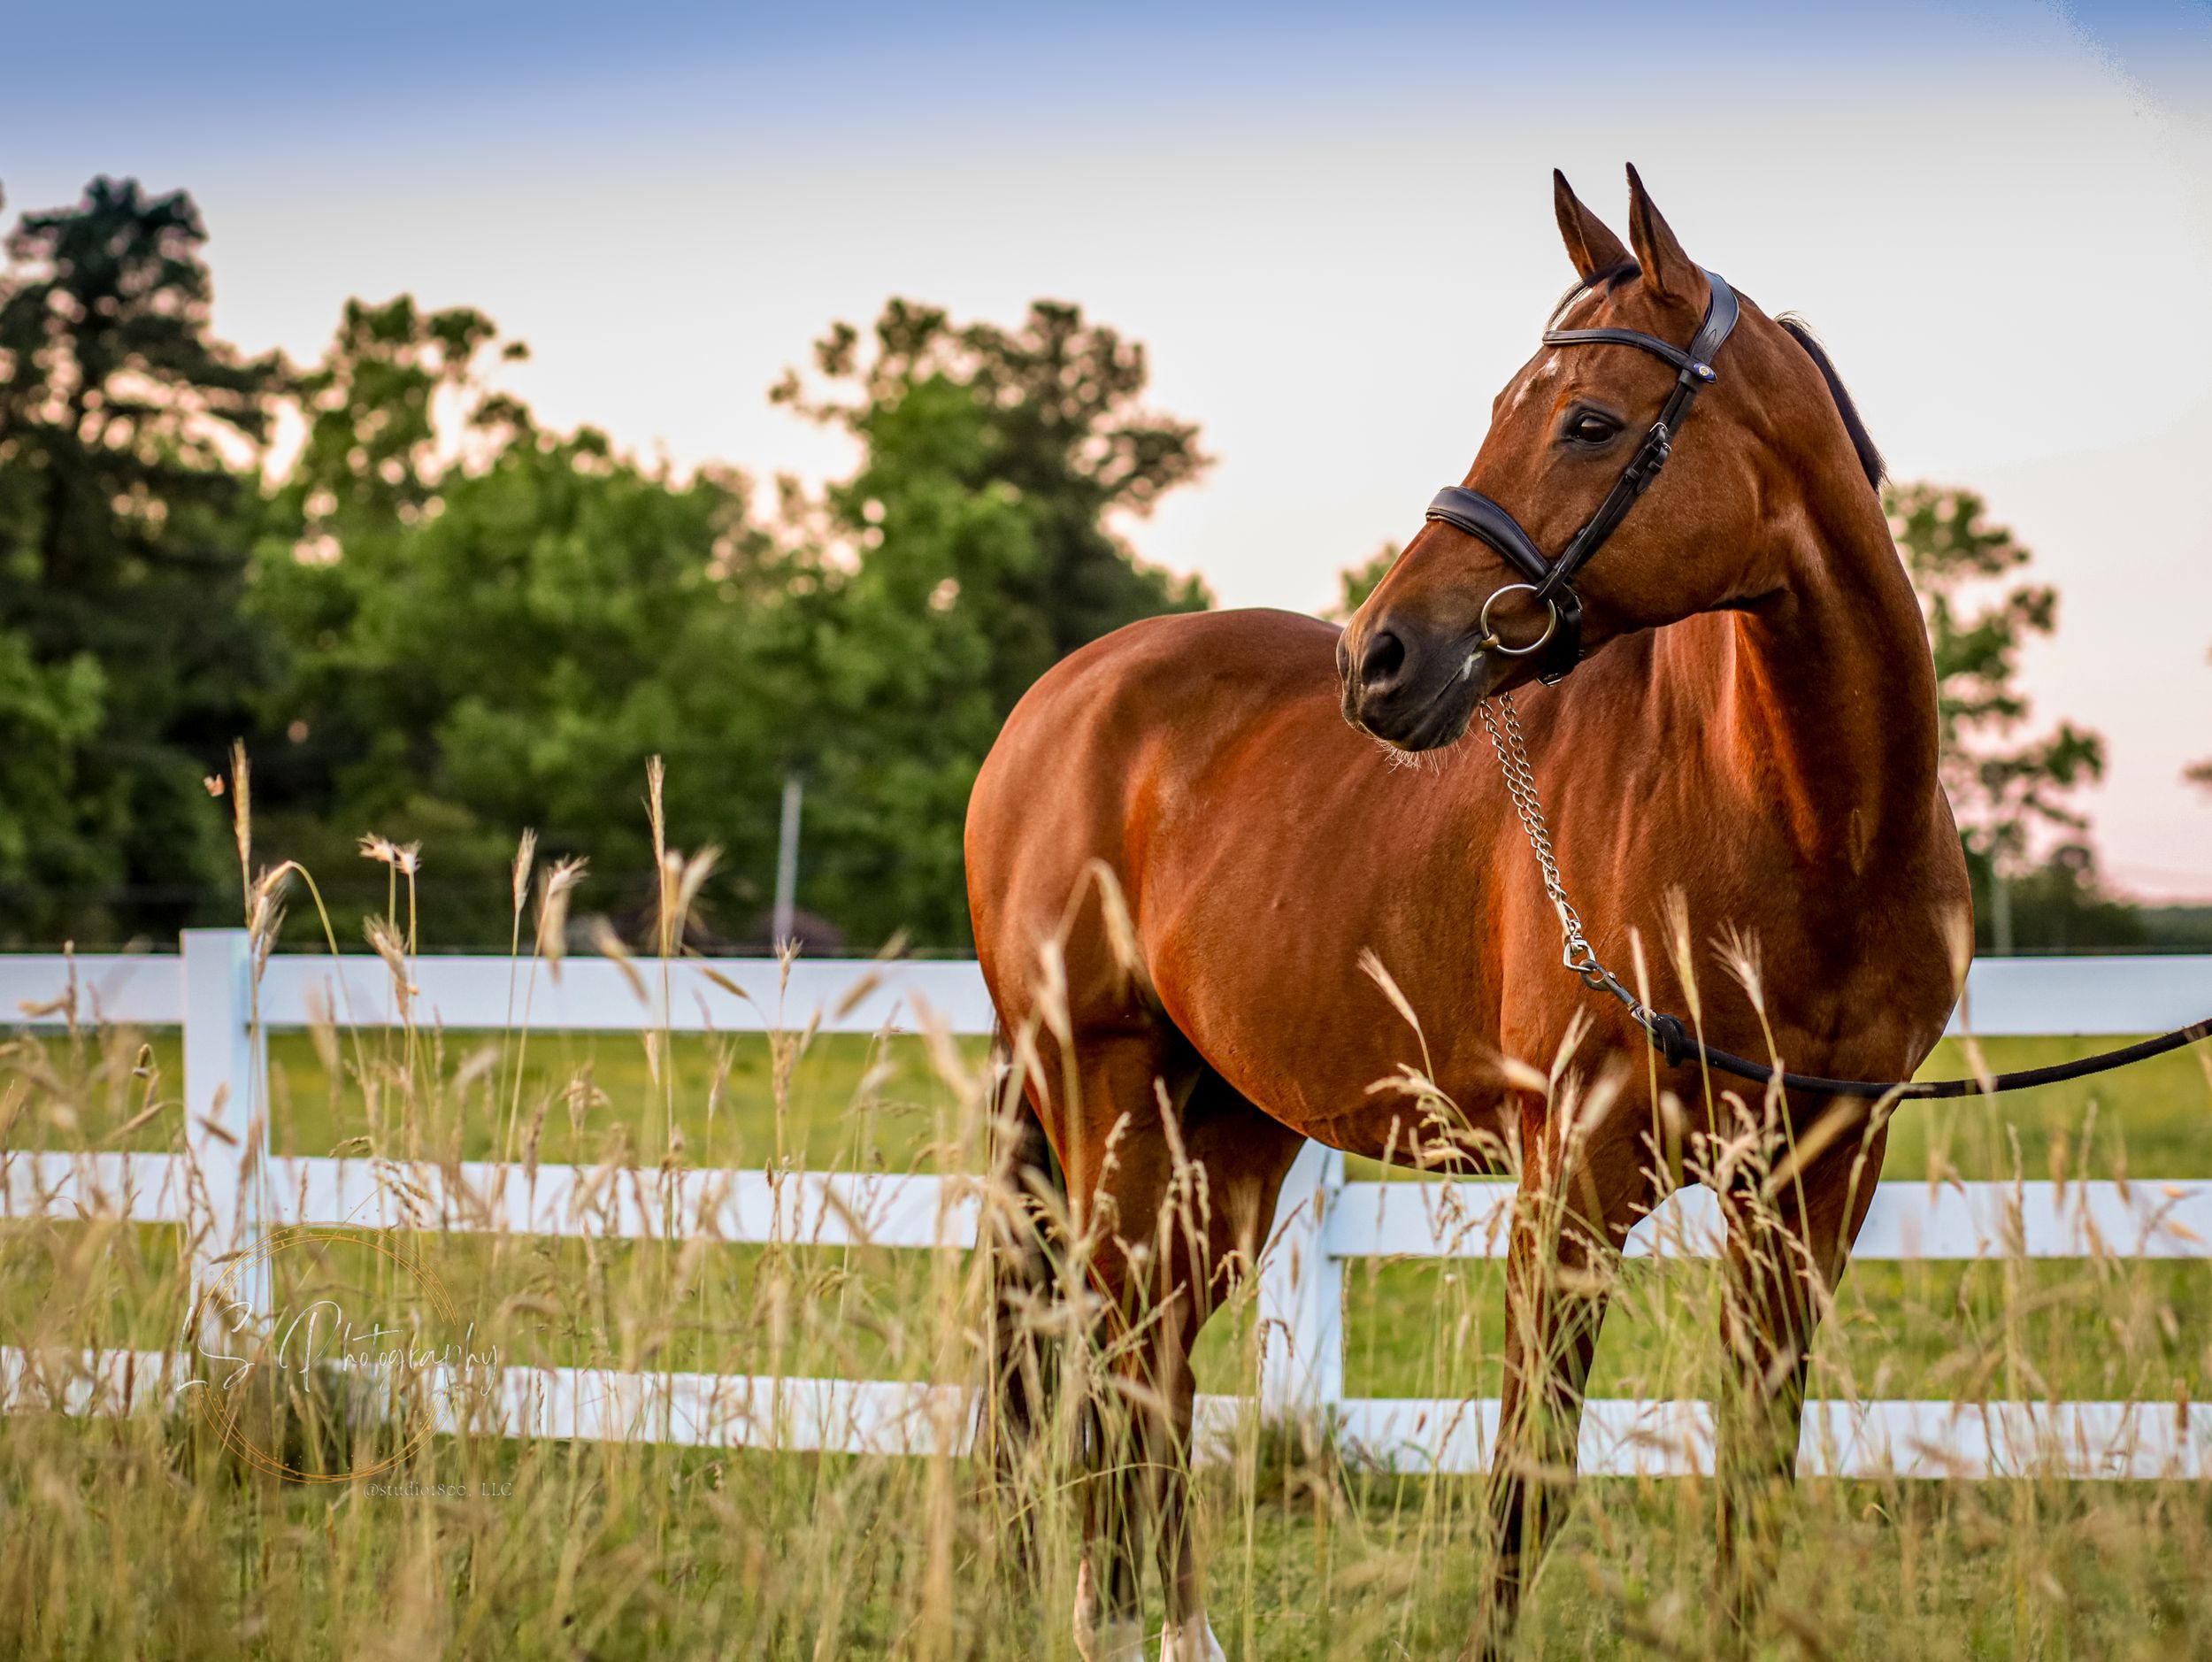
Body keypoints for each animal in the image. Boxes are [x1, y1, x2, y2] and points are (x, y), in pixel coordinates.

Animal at [965, 164, 1970, 1660]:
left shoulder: (1818, 1182)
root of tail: (1056, 701)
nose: (1376, 659)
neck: (1806, 830)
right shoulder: (1573, 1181)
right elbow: (1524, 1490)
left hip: (1227, 1130)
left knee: (1157, 1362)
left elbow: (1754, 1477)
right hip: (1104, 1097)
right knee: (1108, 1349)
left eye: (1590, 420)